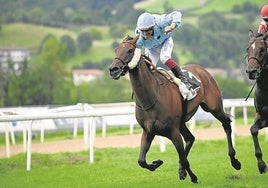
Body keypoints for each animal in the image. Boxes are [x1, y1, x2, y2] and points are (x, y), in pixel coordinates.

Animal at [109, 35, 241, 182]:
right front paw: (157, 163)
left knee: (226, 124)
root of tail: (203, 70)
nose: (113, 69)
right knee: (190, 138)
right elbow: (141, 161)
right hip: (182, 121)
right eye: (116, 50)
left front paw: (193, 177)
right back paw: (181, 170)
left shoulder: (173, 131)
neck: (151, 97)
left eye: (130, 50)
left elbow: (184, 159)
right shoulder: (148, 131)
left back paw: (234, 161)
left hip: (214, 107)